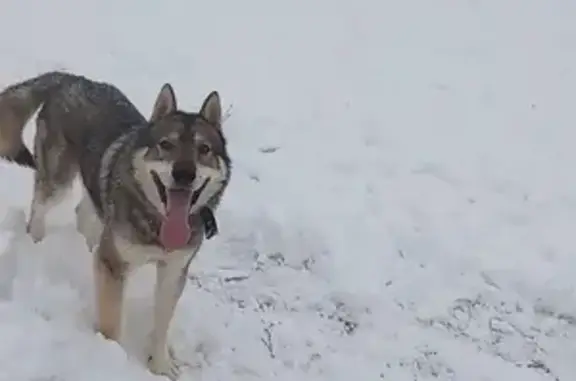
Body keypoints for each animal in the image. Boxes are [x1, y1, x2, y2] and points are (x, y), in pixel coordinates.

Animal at [0, 70, 232, 378]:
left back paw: (88, 247)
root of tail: (71, 79)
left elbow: (162, 323)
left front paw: (161, 365)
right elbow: (111, 322)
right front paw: (110, 357)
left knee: (84, 215)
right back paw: (36, 242)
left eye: (204, 149)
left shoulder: (173, 270)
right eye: (166, 145)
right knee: (39, 208)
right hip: (57, 180)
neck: (156, 225)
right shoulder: (114, 267)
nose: (184, 173)